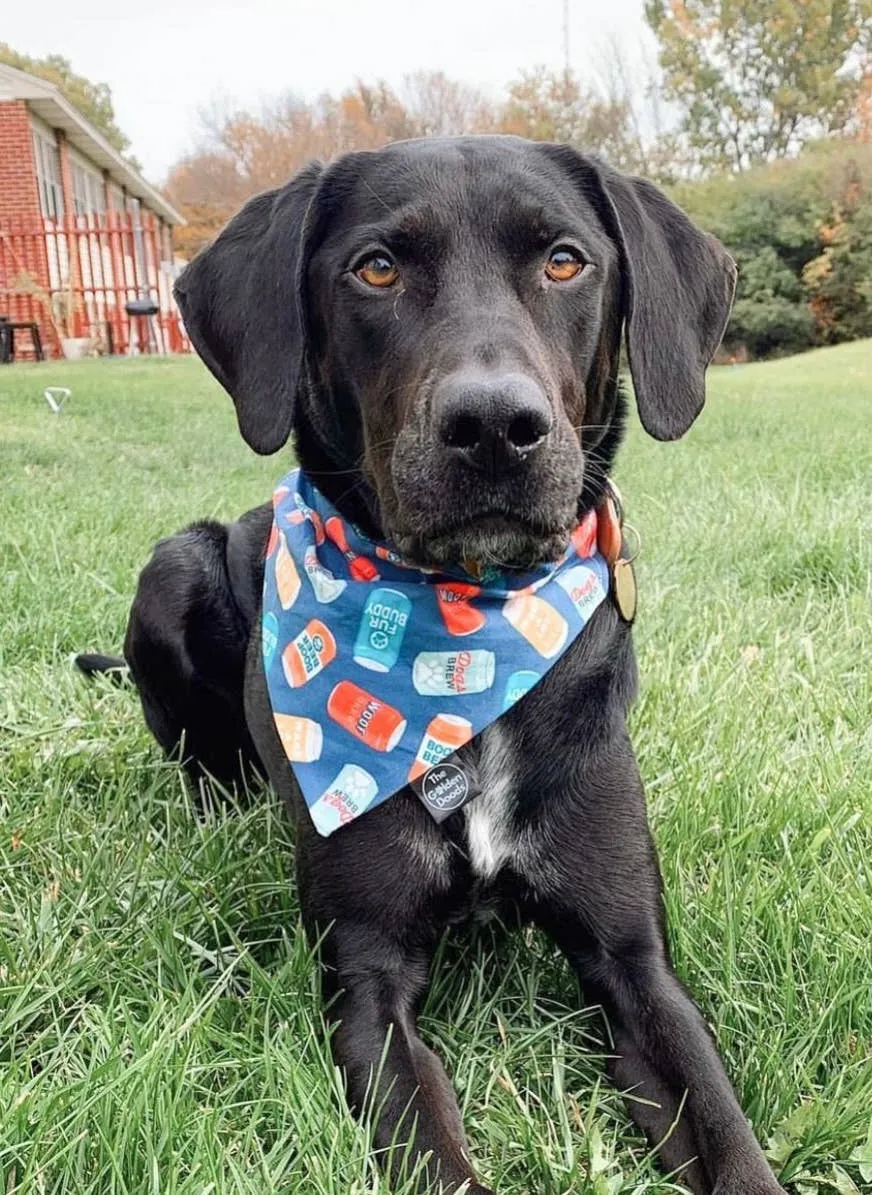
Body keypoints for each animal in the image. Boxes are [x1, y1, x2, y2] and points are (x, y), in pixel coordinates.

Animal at [81, 135, 783, 1190]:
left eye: (565, 261)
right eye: (376, 268)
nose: (494, 426)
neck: (463, 641)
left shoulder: (636, 963)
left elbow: (731, 1137)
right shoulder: (367, 981)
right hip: (175, 568)